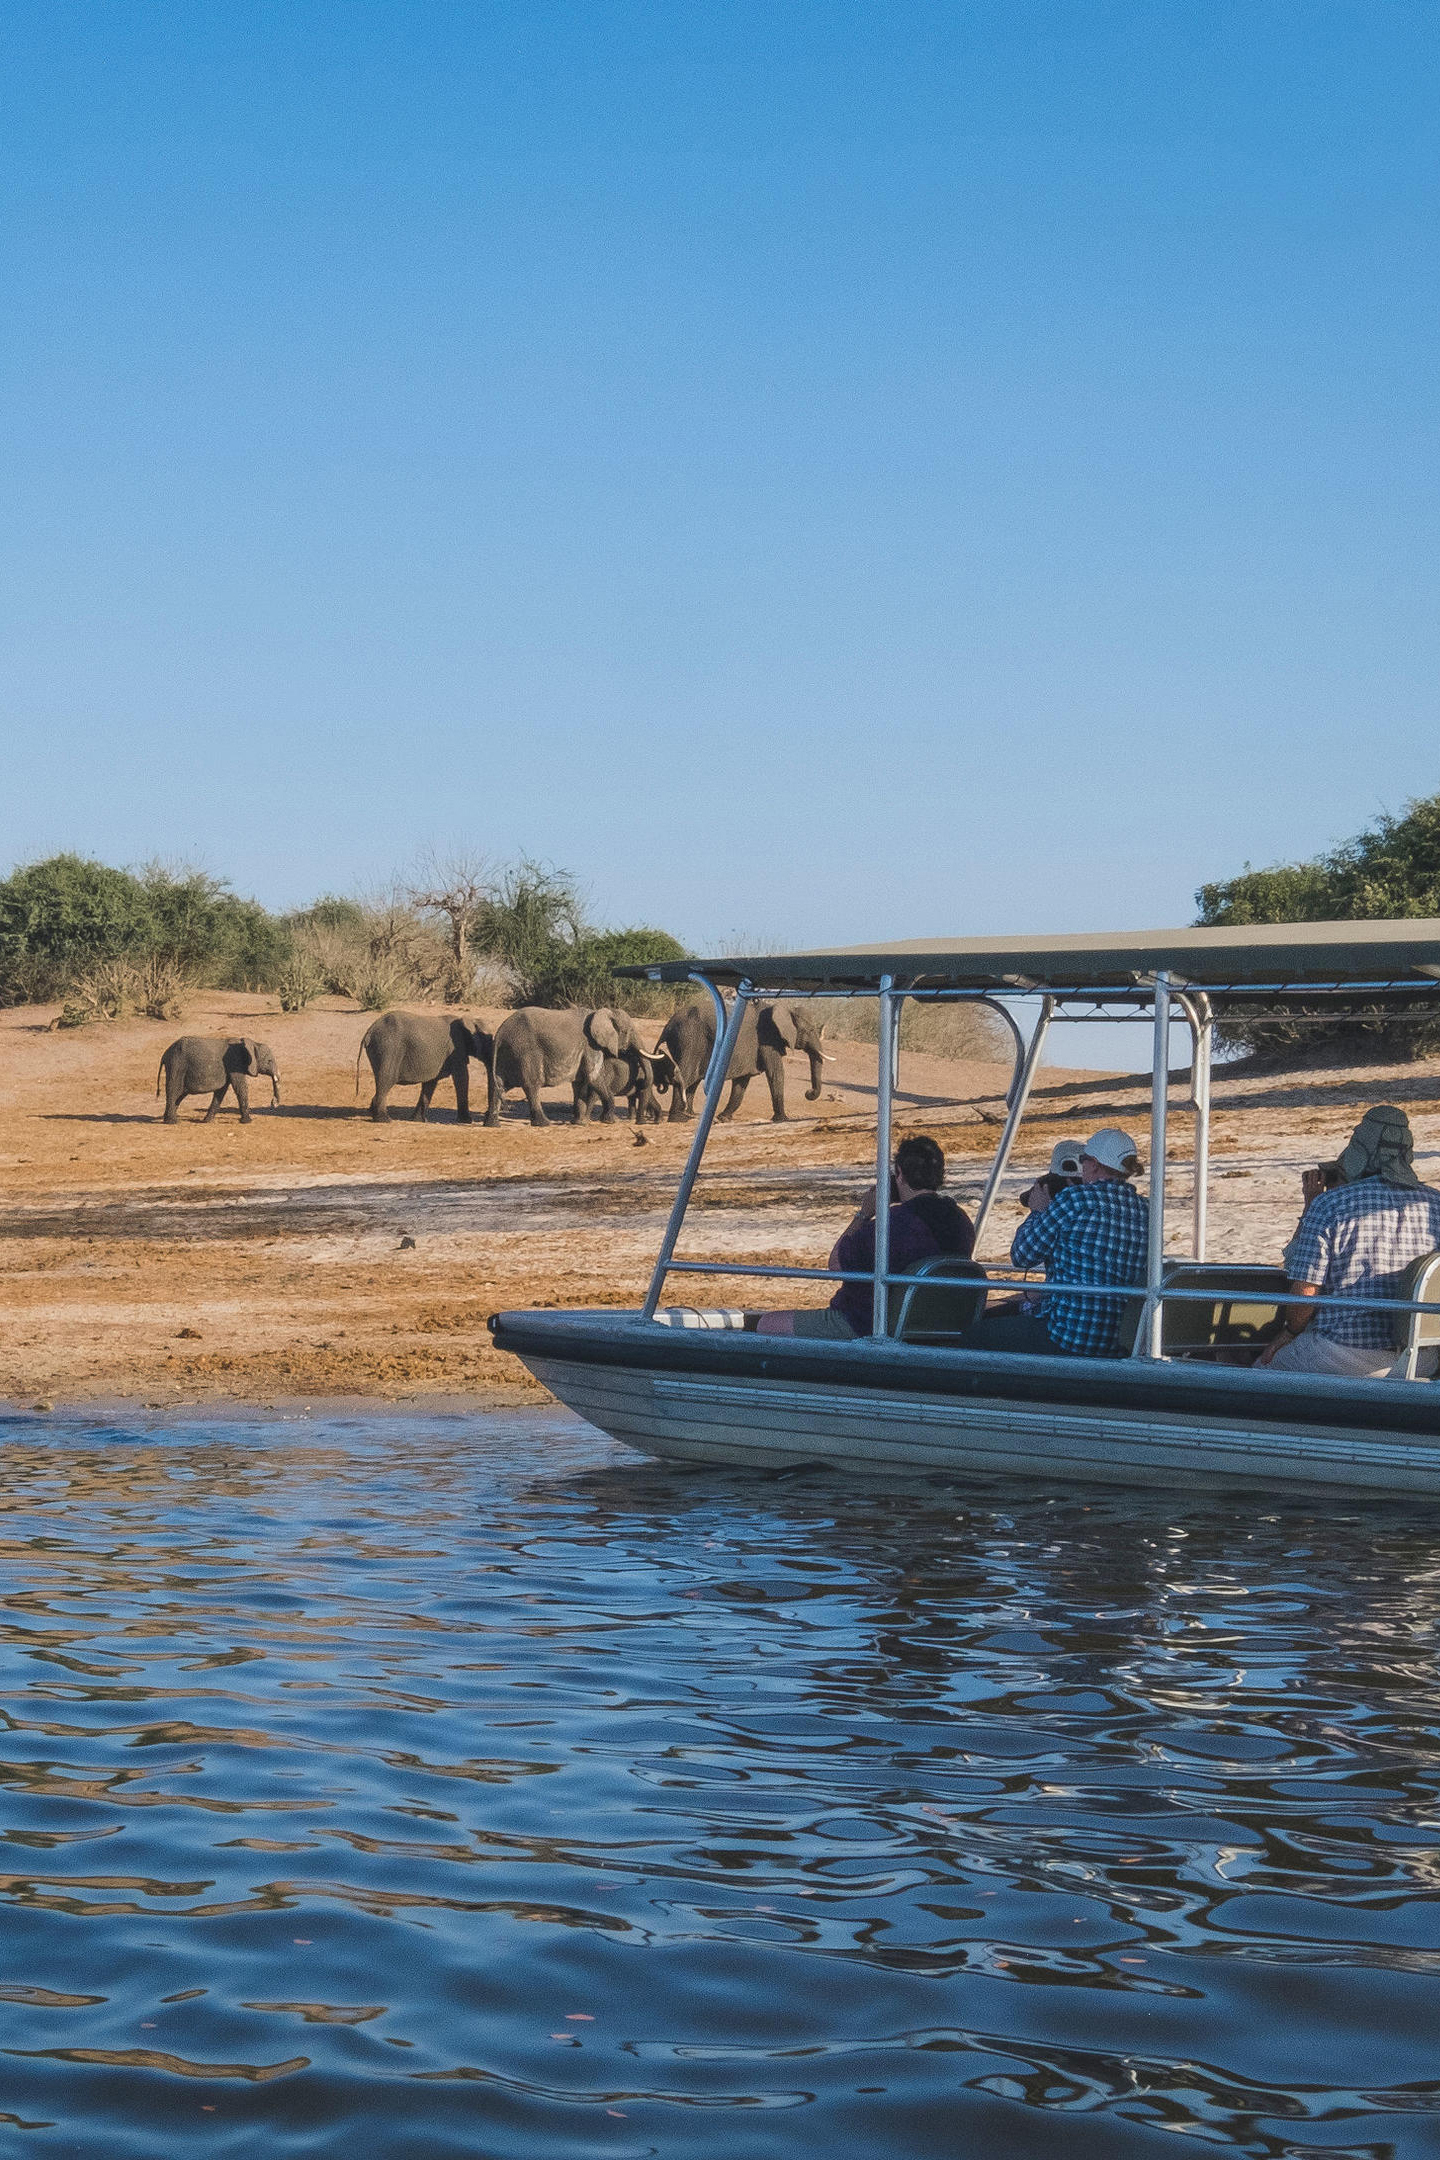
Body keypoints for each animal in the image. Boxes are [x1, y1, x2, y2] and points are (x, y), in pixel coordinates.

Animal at [356, 1011, 491, 1124]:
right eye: (489, 1041)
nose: (486, 1114)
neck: (470, 1019)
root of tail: (369, 1031)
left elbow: (430, 1083)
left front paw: (418, 1120)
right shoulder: (457, 1049)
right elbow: (462, 1078)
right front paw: (467, 1121)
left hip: (380, 1050)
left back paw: (374, 1114)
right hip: (388, 1049)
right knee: (386, 1080)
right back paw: (385, 1120)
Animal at [484, 1006, 661, 1127]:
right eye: (628, 1031)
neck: (602, 1012)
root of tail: (500, 1032)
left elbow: (580, 1083)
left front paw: (580, 1123)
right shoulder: (591, 1045)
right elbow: (594, 1077)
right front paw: (611, 1121)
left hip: (506, 1054)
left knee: (497, 1084)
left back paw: (492, 1124)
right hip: (525, 1051)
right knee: (532, 1086)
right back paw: (544, 1123)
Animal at [657, 1000, 829, 1122]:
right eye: (810, 1030)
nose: (808, 1093)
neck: (786, 1009)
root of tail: (669, 1024)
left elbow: (742, 1082)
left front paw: (724, 1118)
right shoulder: (767, 1040)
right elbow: (776, 1073)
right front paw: (782, 1119)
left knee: (694, 1079)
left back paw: (691, 1115)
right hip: (690, 1039)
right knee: (687, 1075)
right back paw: (679, 1119)